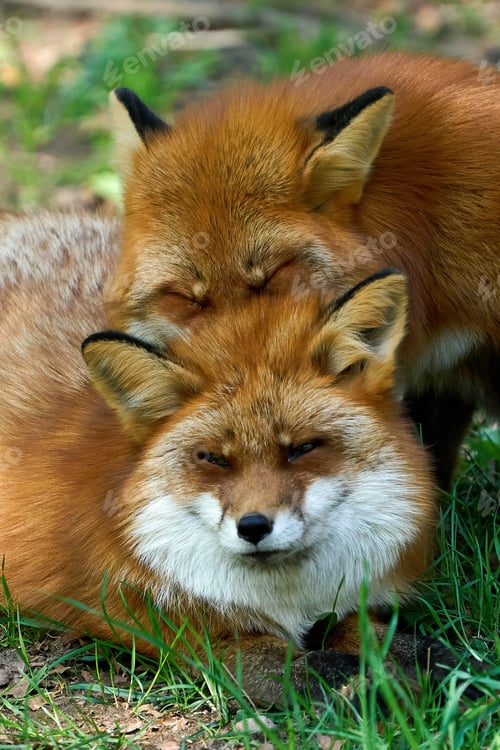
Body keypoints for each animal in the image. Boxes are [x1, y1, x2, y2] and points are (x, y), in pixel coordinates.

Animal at [0, 210, 460, 706]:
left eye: (301, 449)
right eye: (214, 459)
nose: (254, 527)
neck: (291, 599)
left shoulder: (345, 605)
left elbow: (387, 638)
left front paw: (445, 667)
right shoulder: (197, 638)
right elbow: (319, 669)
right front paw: (374, 688)